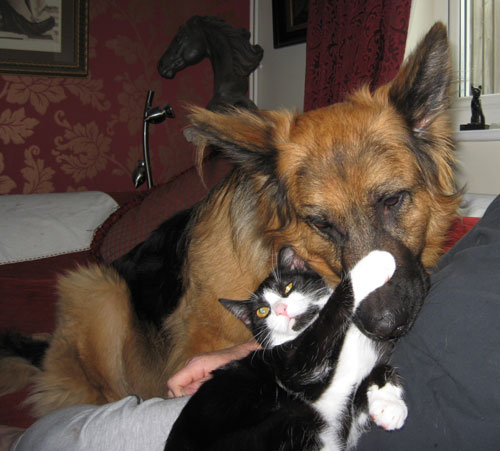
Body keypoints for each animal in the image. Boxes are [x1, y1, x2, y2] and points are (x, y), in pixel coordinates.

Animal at [166, 249, 408, 450]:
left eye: (288, 287)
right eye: (262, 311)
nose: (281, 309)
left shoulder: (346, 409)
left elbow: (375, 374)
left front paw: (388, 404)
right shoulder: (290, 366)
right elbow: (327, 318)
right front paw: (372, 266)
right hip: (291, 418)